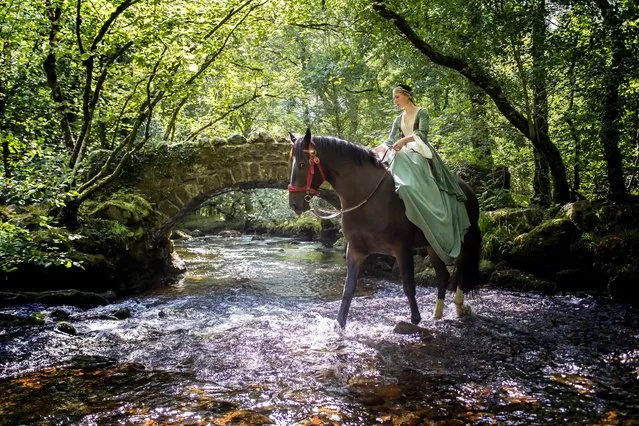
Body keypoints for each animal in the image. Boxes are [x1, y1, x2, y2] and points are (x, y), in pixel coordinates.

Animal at [288, 128, 480, 328]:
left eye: (302, 164)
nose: (294, 204)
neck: (367, 196)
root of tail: (467, 188)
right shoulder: (355, 250)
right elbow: (348, 288)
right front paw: (339, 325)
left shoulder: (402, 249)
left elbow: (409, 286)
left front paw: (415, 321)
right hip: (432, 245)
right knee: (443, 275)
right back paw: (437, 314)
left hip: (464, 241)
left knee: (463, 268)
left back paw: (459, 306)